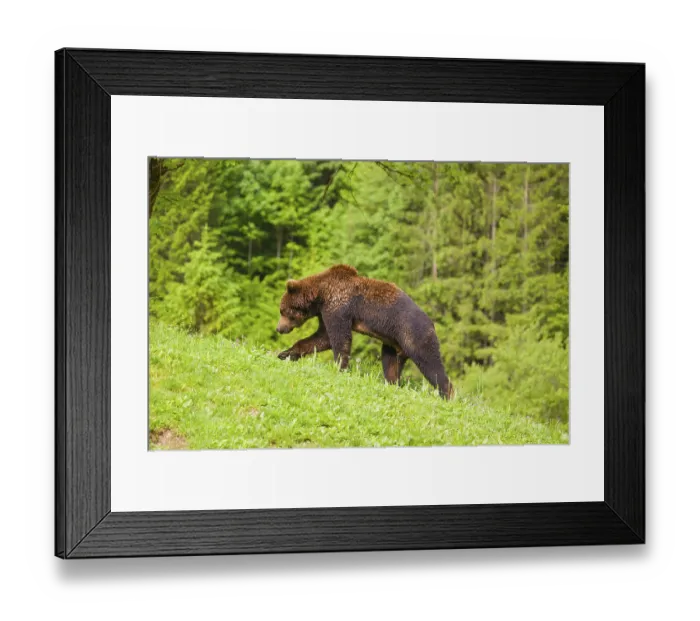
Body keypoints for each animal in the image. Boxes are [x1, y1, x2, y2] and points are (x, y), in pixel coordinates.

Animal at [276, 264, 454, 399]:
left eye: (283, 311)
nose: (279, 328)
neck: (321, 294)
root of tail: (432, 323)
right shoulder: (325, 311)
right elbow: (322, 338)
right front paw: (286, 353)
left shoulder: (338, 307)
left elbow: (339, 339)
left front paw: (340, 367)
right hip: (392, 343)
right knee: (390, 364)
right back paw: (392, 384)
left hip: (414, 334)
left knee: (431, 364)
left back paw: (448, 394)